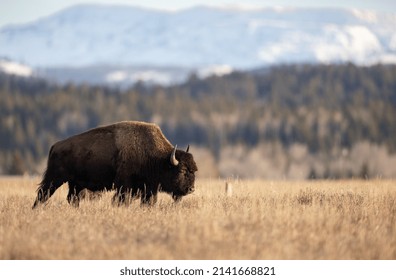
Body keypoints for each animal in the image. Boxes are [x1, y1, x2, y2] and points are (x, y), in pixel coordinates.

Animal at [31, 120, 198, 208]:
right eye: (182, 171)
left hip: (76, 184)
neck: (159, 158)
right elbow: (121, 200)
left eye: (194, 171)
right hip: (55, 178)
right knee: (43, 193)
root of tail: (55, 145)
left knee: (72, 198)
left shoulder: (149, 188)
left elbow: (148, 201)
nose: (191, 189)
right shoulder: (125, 185)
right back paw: (36, 209)